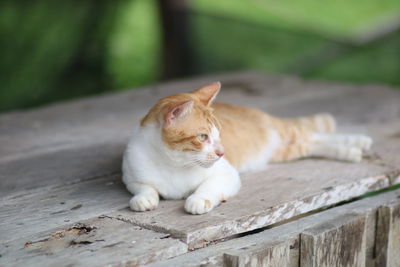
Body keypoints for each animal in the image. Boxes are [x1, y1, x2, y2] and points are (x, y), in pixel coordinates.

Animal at [121, 82, 372, 216]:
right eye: (203, 137)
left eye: (219, 134)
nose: (222, 152)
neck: (174, 163)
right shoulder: (132, 177)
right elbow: (145, 189)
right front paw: (143, 200)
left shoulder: (227, 175)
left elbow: (207, 187)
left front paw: (197, 200)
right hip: (284, 151)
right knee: (312, 143)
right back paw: (350, 151)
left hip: (284, 133)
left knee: (312, 134)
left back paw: (357, 141)